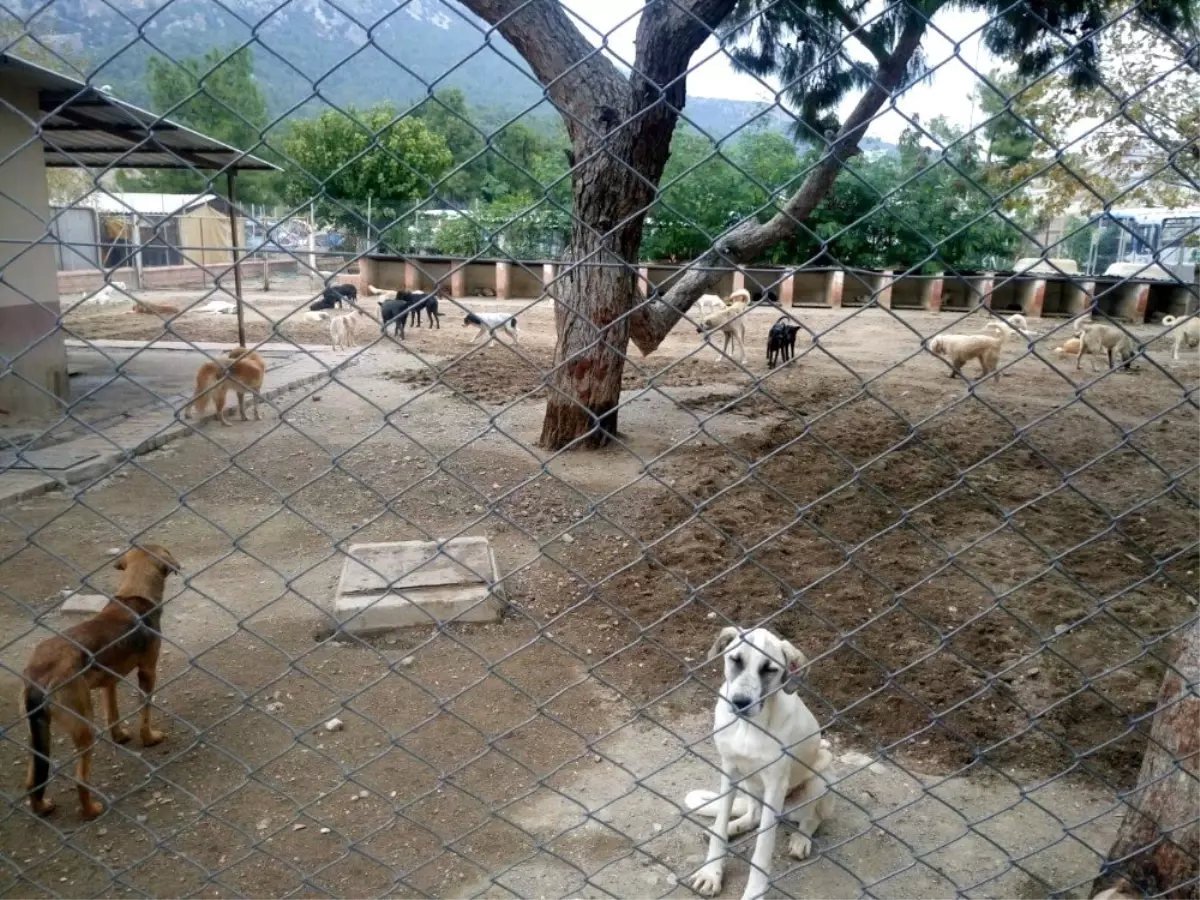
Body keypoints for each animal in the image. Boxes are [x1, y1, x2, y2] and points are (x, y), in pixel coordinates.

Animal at [21, 547, 180, 820]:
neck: (134, 593)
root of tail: (39, 677)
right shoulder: (148, 673)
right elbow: (145, 713)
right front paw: (149, 738)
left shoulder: (109, 681)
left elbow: (113, 713)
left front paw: (120, 736)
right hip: (83, 725)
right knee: (80, 780)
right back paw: (91, 810)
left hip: (38, 733)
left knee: (33, 780)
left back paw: (42, 808)